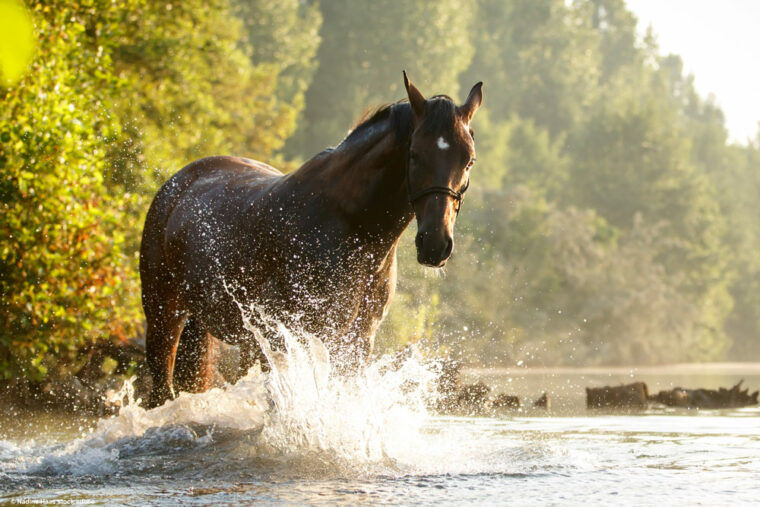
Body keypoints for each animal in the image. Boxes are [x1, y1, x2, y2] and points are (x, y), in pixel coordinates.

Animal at [140, 72, 484, 408]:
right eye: (414, 154)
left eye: (469, 160)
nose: (435, 244)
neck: (354, 228)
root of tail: (177, 184)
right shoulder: (288, 337)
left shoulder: (357, 341)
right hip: (164, 317)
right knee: (161, 393)